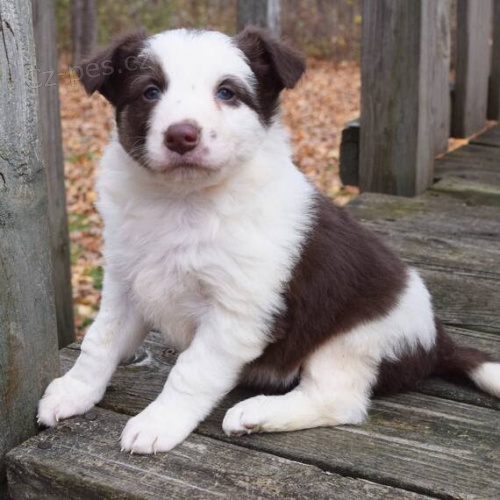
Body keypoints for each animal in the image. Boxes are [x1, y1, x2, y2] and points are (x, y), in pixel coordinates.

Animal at [36, 29, 500, 456]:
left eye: (227, 92)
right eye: (150, 91)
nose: (181, 136)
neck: (180, 202)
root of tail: (439, 341)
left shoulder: (237, 313)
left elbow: (191, 371)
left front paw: (158, 422)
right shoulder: (125, 283)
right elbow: (99, 343)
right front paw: (73, 392)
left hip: (352, 342)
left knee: (340, 401)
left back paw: (255, 413)